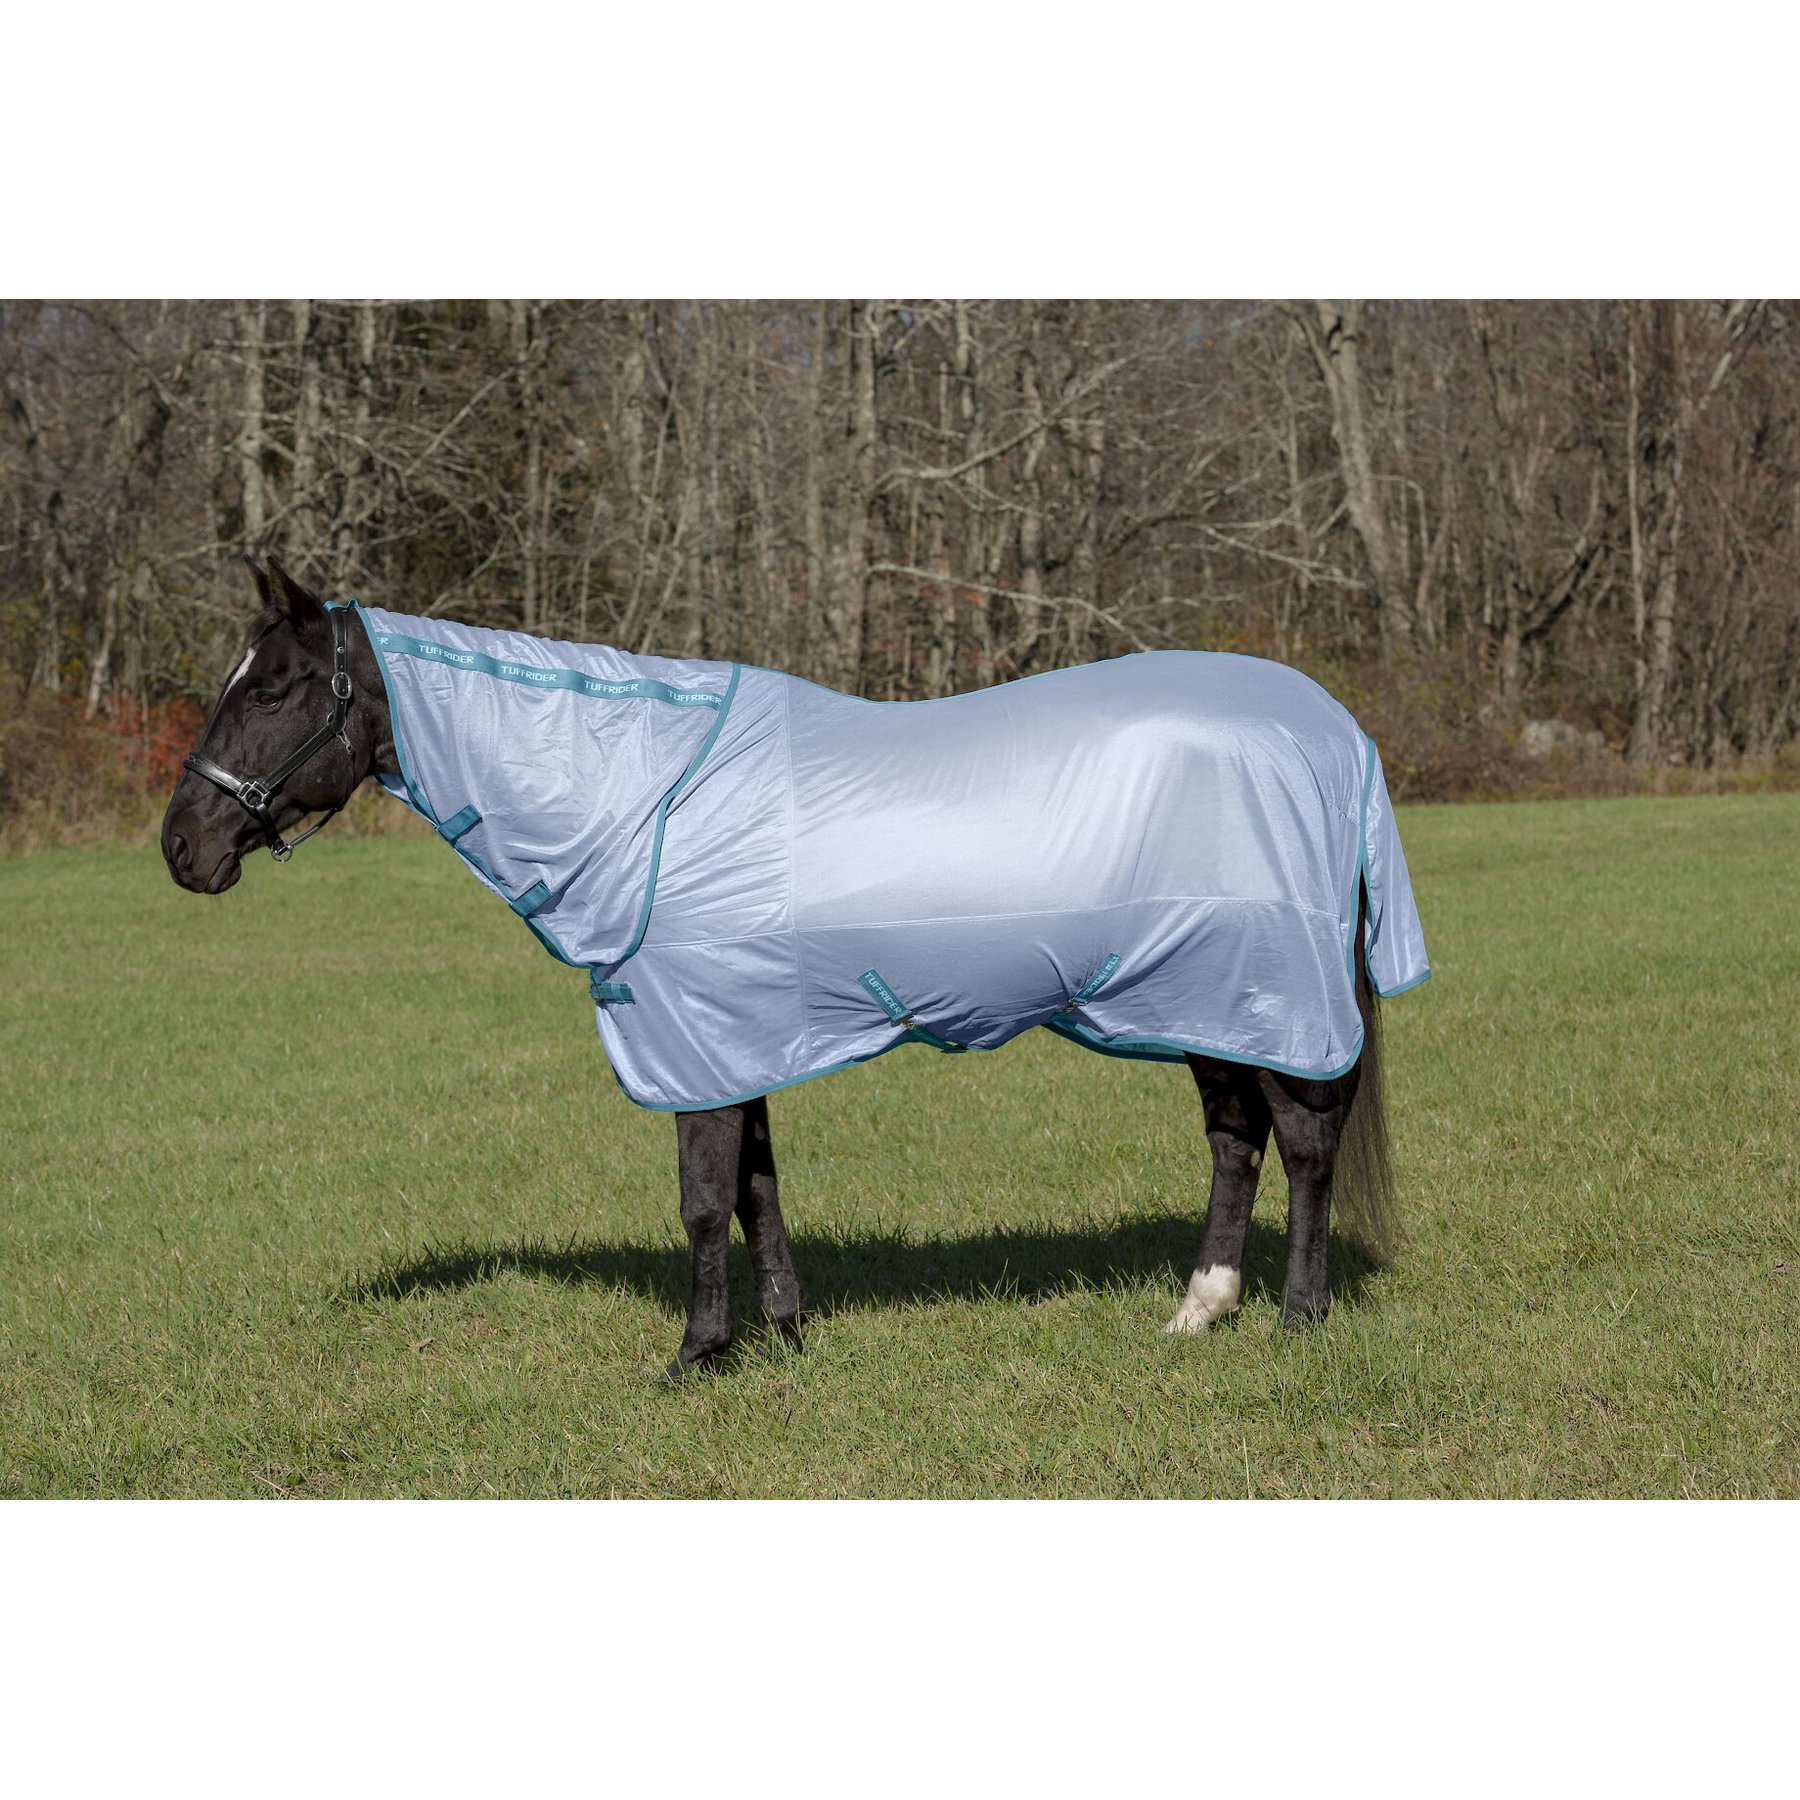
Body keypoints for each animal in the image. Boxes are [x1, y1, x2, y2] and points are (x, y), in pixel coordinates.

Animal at [162, 558, 1429, 1377]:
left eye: (271, 686)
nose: (184, 849)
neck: (646, 793)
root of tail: (1333, 732)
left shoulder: (693, 1033)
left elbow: (700, 1198)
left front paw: (694, 1355)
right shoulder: (734, 1030)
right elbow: (756, 1185)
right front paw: (780, 1333)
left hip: (1262, 992)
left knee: (1304, 1144)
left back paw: (1297, 1319)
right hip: (1202, 998)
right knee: (1236, 1140)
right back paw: (1198, 1311)